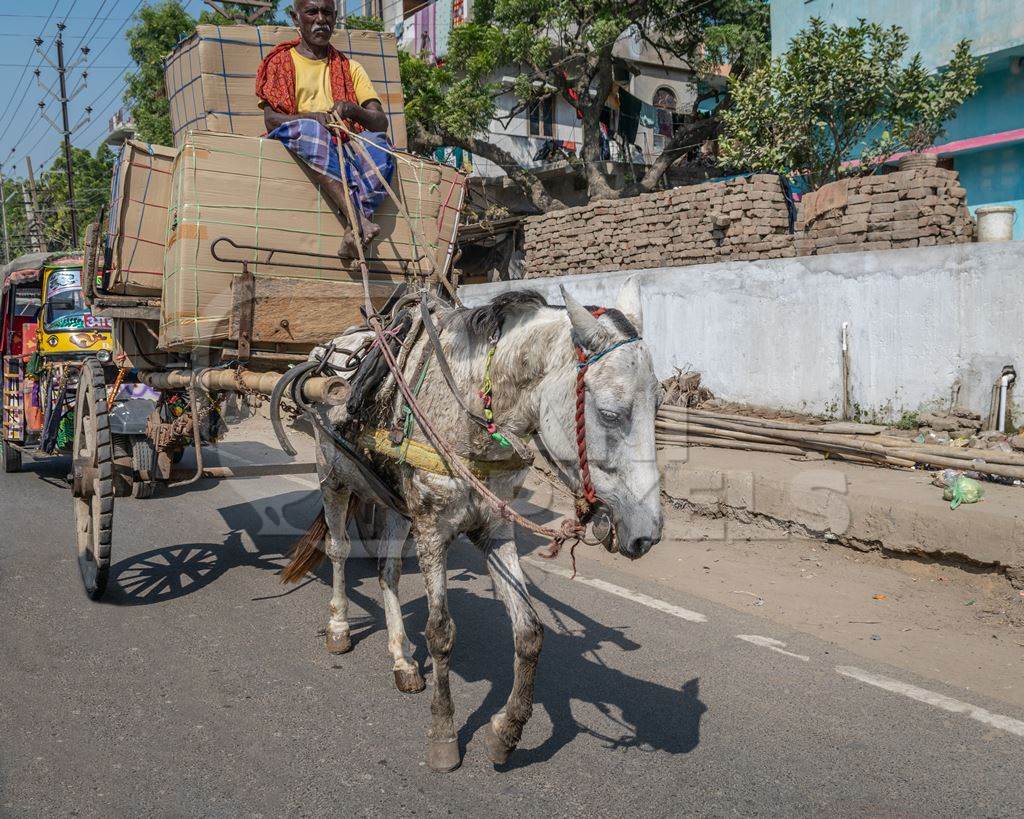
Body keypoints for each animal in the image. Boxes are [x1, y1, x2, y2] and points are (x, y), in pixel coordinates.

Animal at [282, 278, 663, 769]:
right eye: (611, 414)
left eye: (659, 407)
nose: (646, 534)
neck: (470, 411)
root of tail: (330, 351)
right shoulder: (432, 530)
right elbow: (441, 633)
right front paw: (444, 734)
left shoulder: (494, 530)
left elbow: (529, 632)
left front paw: (507, 731)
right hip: (332, 476)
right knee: (339, 550)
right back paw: (339, 628)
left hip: (394, 502)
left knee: (388, 570)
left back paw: (402, 660)